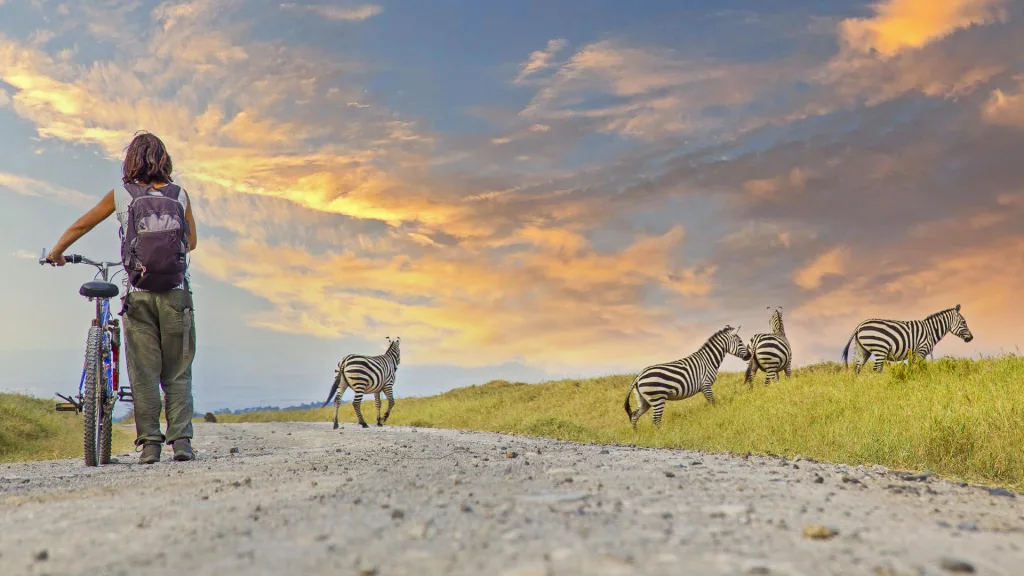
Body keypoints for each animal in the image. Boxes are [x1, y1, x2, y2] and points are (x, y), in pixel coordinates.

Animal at [841, 305, 973, 374]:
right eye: (963, 322)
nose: (971, 338)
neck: (930, 330)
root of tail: (860, 325)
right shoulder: (921, 350)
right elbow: (917, 368)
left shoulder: (916, 353)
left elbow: (914, 367)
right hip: (880, 349)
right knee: (877, 369)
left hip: (862, 350)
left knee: (857, 368)